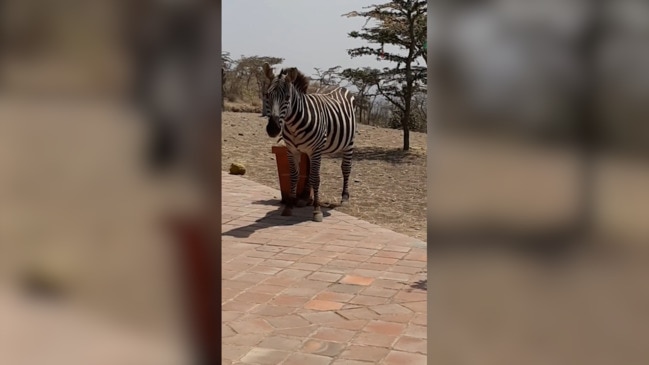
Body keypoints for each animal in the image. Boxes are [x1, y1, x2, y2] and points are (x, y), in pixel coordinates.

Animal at [262, 63, 356, 222]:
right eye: (267, 95)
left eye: (287, 97)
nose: (273, 129)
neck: (294, 124)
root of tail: (338, 86)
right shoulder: (292, 150)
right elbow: (295, 176)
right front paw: (289, 206)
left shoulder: (315, 149)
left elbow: (316, 178)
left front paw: (317, 211)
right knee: (309, 171)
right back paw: (304, 198)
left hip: (348, 143)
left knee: (346, 168)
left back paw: (344, 197)